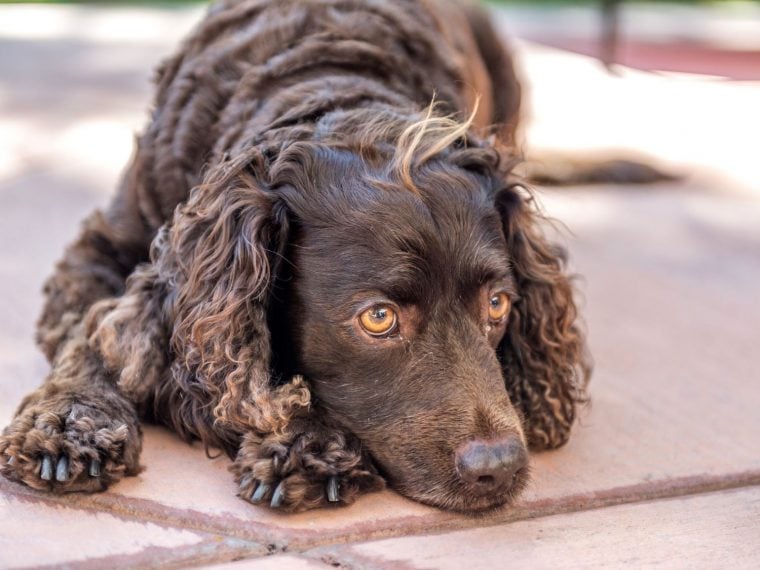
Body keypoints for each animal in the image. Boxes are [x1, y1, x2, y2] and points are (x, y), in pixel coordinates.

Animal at [0, 0, 592, 512]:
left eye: (497, 305)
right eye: (378, 318)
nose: (500, 467)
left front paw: (306, 443)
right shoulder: (99, 251)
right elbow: (90, 335)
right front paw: (68, 423)